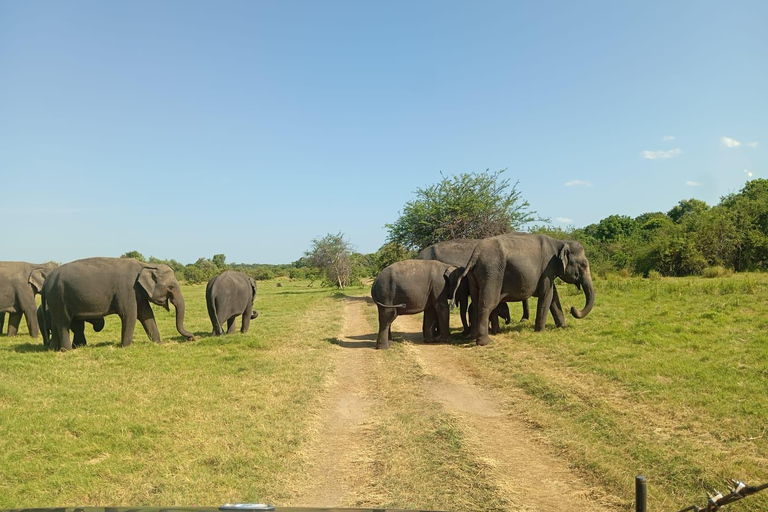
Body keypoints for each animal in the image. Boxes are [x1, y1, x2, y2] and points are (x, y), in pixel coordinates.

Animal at [41, 258, 195, 350]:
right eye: (171, 287)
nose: (191, 338)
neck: (145, 265)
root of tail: (47, 280)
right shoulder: (127, 290)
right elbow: (130, 315)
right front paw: (125, 347)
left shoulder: (138, 293)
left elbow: (146, 314)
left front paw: (158, 343)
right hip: (59, 297)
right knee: (63, 323)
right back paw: (66, 350)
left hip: (55, 299)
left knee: (56, 323)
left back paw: (54, 349)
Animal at [460, 233, 596, 346]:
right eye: (583, 265)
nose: (573, 309)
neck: (560, 242)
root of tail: (475, 255)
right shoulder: (547, 269)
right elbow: (547, 295)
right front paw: (541, 332)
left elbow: (554, 297)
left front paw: (562, 327)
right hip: (492, 272)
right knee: (487, 304)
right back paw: (486, 342)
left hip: (476, 275)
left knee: (476, 303)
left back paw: (476, 338)